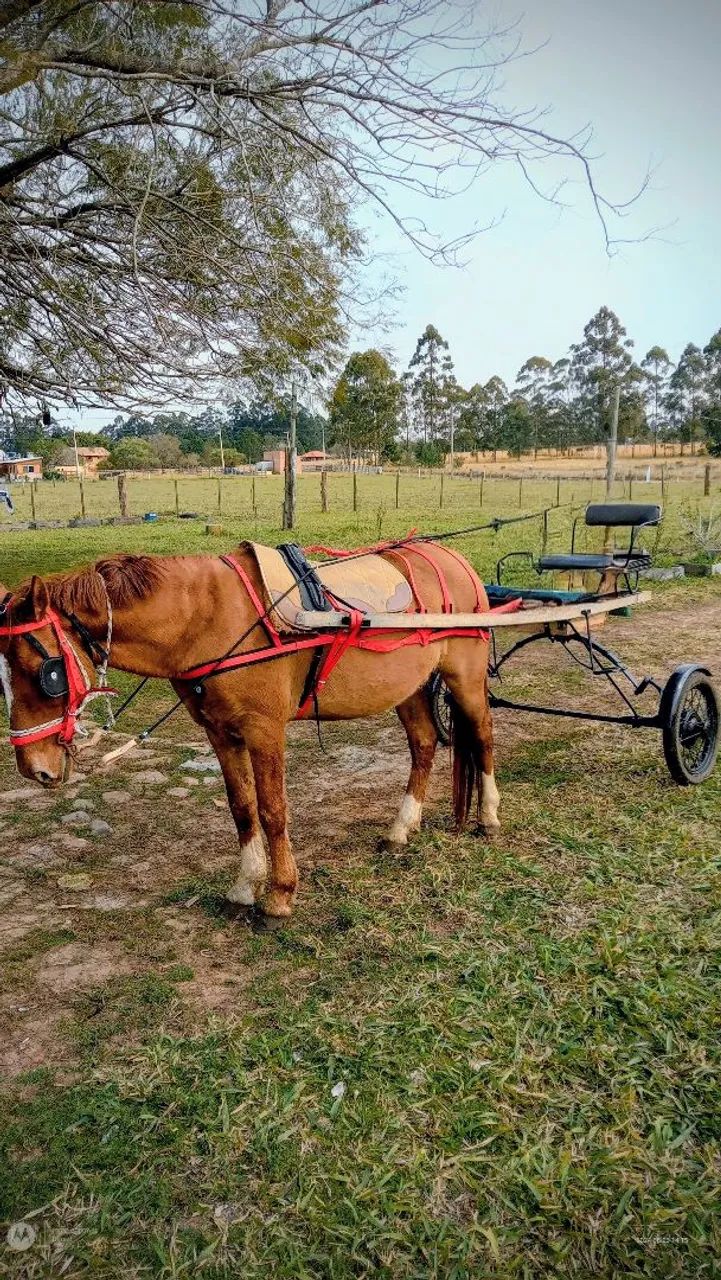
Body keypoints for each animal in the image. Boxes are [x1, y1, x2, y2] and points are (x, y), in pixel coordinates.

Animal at [0, 543, 499, 922]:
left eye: (45, 672)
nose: (32, 767)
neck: (206, 618)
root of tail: (453, 558)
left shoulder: (264, 731)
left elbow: (273, 809)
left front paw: (280, 894)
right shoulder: (221, 734)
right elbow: (242, 808)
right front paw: (245, 886)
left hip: (465, 679)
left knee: (483, 737)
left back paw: (488, 816)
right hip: (410, 687)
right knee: (423, 744)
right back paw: (401, 827)